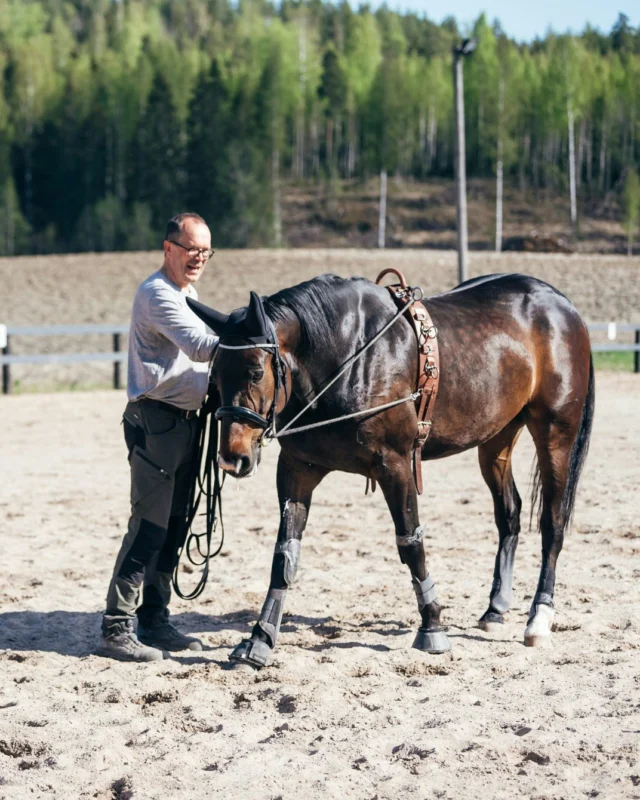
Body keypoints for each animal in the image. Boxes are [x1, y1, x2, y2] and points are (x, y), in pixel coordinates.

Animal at [189, 276, 596, 668]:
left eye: (256, 372)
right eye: (214, 376)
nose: (231, 458)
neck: (346, 355)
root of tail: (562, 304)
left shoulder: (396, 465)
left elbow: (411, 544)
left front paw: (432, 627)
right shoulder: (297, 469)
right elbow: (284, 554)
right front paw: (259, 640)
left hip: (555, 435)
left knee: (553, 523)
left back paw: (538, 617)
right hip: (496, 440)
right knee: (509, 514)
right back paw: (496, 608)